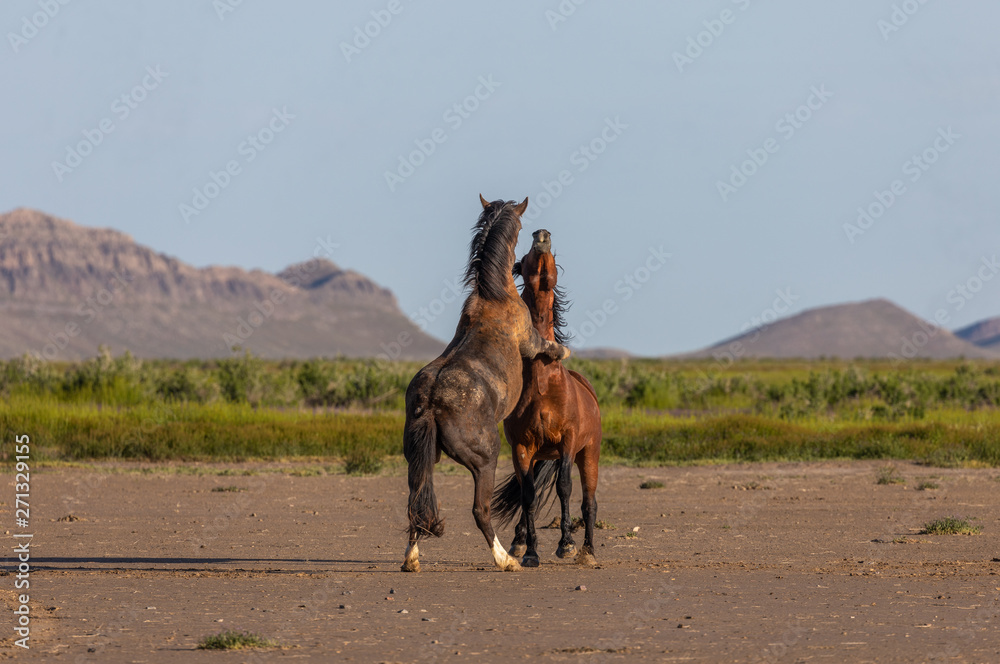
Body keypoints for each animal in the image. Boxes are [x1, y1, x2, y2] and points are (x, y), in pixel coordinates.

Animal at [401, 196, 571, 573]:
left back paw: (411, 560)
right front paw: (564, 350)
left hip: (419, 459)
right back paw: (506, 559)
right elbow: (546, 346)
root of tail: (431, 402)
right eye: (521, 226)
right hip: (485, 459)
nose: (540, 233)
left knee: (417, 503)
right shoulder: (530, 343)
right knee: (480, 511)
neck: (494, 295)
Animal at [491, 229, 602, 567]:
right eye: (523, 257)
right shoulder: (522, 448)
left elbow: (564, 487)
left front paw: (566, 544)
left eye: (554, 257)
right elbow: (528, 495)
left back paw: (588, 552)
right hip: (540, 455)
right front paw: (530, 552)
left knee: (589, 502)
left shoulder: (567, 441)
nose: (541, 236)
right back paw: (518, 541)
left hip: (589, 453)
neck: (543, 383)